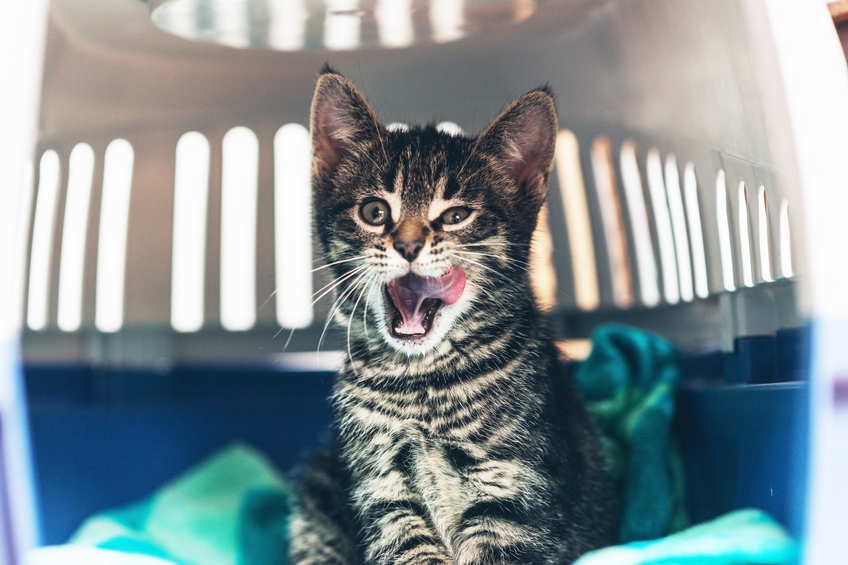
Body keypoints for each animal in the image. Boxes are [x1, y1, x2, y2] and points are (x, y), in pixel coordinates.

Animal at [286, 70, 616, 564]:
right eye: (374, 212)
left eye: (456, 215)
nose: (407, 245)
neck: (422, 379)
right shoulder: (385, 495)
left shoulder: (512, 494)